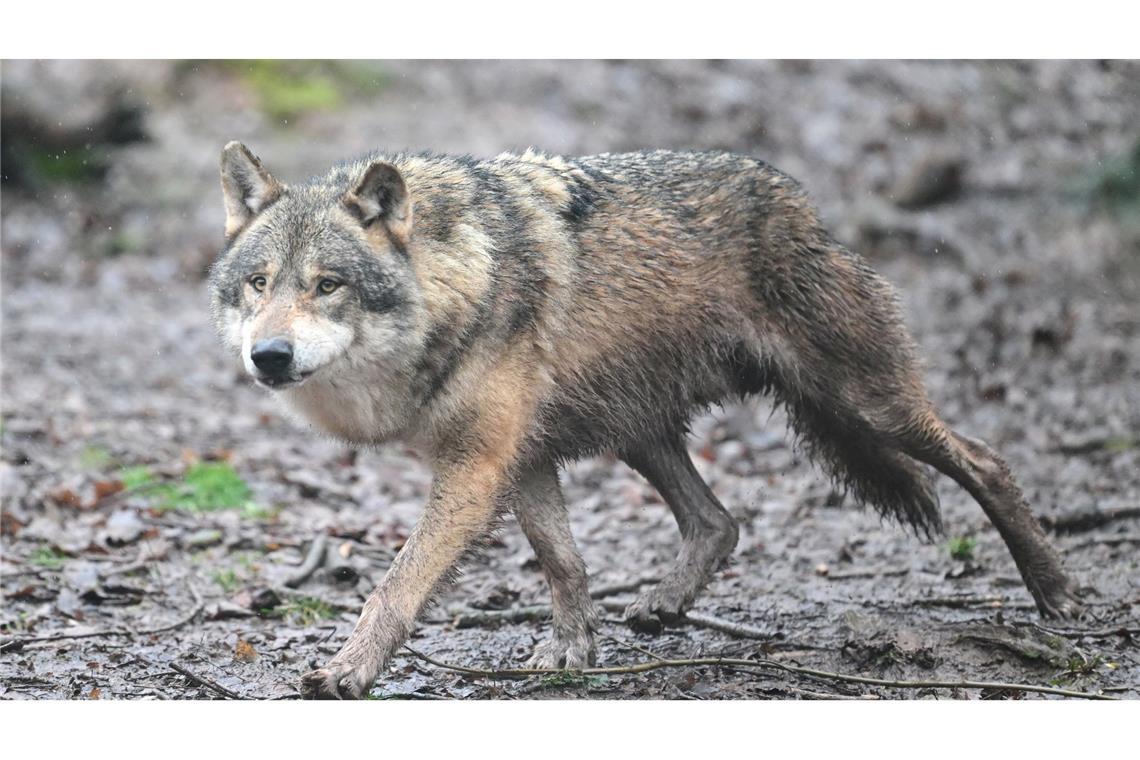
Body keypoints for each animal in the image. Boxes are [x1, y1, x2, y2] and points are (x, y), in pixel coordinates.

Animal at [210, 142, 1082, 699]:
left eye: (327, 285)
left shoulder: (477, 466)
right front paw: (572, 649)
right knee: (719, 520)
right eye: (258, 282)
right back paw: (664, 604)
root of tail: (801, 201)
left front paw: (347, 672)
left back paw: (1057, 595)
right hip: (641, 431)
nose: (269, 356)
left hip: (866, 404)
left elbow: (395, 585)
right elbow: (563, 561)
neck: (457, 281)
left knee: (987, 459)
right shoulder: (521, 458)